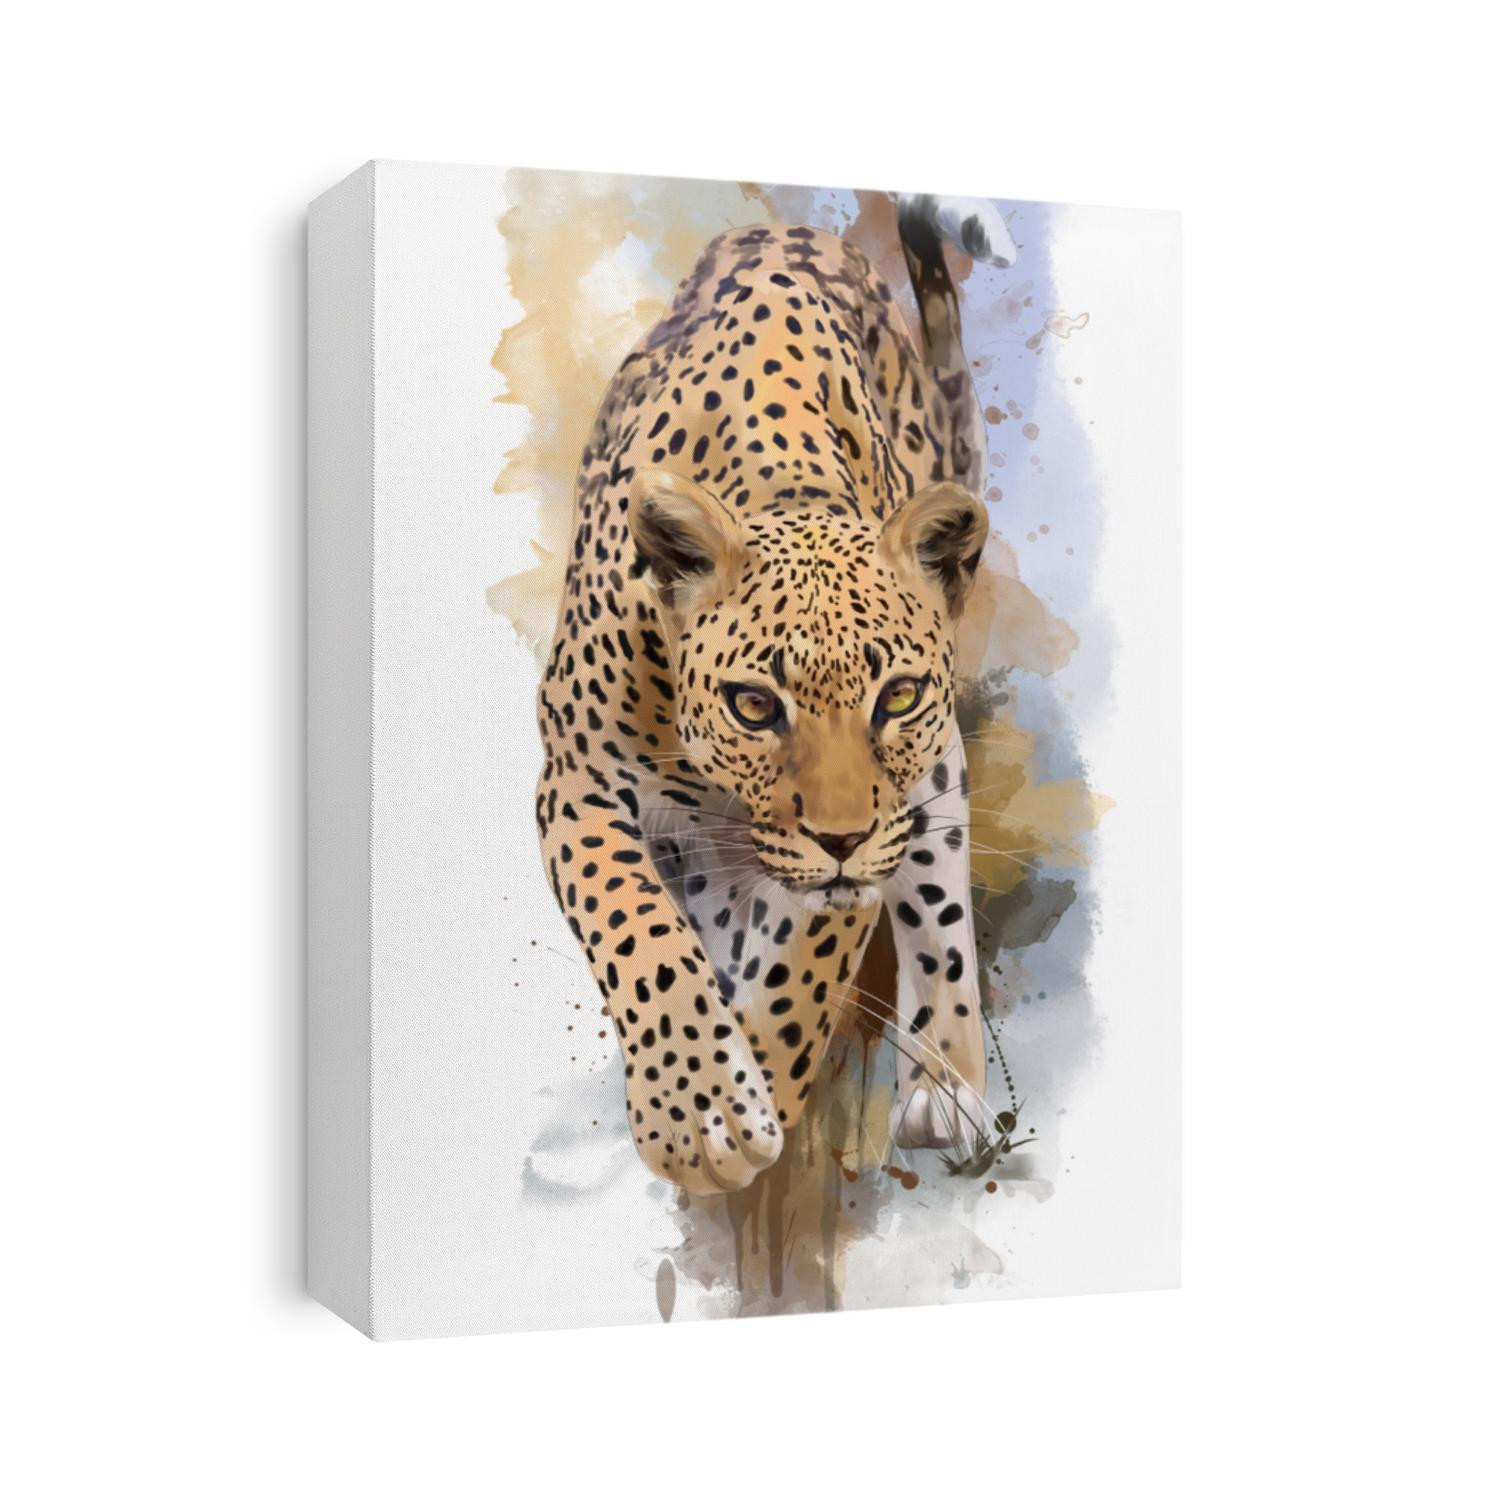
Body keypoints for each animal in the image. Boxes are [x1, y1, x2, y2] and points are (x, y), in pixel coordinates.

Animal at [534, 197, 1017, 1195]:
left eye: (897, 696)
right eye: (755, 705)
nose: (839, 838)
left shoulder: (864, 838)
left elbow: (800, 973)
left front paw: (740, 1097)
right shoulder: (577, 778)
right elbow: (635, 926)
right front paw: (700, 1111)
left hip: (931, 786)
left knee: (939, 903)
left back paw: (944, 1085)